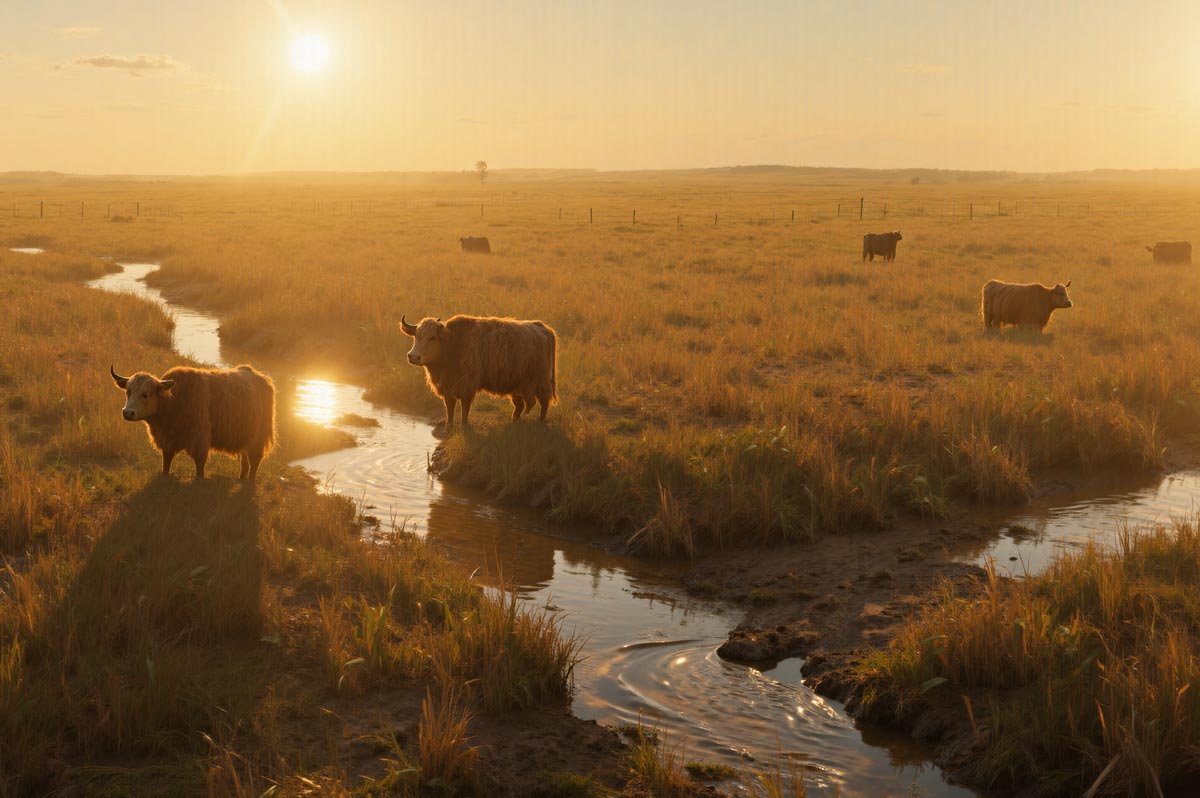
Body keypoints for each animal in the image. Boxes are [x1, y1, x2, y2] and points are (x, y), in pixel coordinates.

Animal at [110, 364, 275, 480]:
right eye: (128, 392)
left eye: (145, 394)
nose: (127, 412)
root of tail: (260, 377)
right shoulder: (167, 440)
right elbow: (167, 460)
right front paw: (165, 475)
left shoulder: (199, 439)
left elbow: (200, 463)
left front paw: (199, 480)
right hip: (244, 437)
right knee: (245, 461)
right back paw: (241, 479)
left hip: (258, 437)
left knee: (254, 460)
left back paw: (249, 483)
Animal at [400, 314, 557, 426]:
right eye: (416, 336)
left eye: (432, 338)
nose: (413, 356)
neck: (453, 345)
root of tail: (541, 328)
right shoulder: (447, 387)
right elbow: (450, 407)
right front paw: (449, 425)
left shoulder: (467, 385)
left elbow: (465, 406)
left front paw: (464, 425)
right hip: (517, 384)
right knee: (520, 404)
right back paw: (515, 420)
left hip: (541, 381)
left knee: (544, 401)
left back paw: (540, 422)